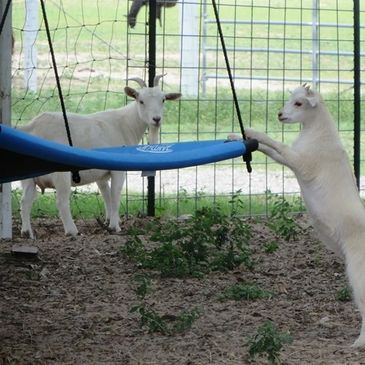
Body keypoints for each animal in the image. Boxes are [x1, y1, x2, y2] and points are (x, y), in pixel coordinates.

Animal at [19, 75, 181, 237]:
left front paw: (109, 221)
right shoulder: (118, 171)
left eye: (163, 100)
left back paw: (27, 232)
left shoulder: (101, 174)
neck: (124, 125)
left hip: (28, 176)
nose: (156, 119)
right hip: (61, 174)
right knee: (61, 201)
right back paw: (72, 231)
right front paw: (115, 226)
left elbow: (106, 196)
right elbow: (115, 197)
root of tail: (33, 127)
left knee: (25, 200)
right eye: (141, 101)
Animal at [229, 85, 364, 346]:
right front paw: (238, 136)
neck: (319, 134)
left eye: (299, 103)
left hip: (358, 271)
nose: (280, 115)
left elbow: (278, 146)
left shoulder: (301, 163)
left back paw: (357, 344)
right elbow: (270, 151)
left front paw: (253, 132)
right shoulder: (290, 160)